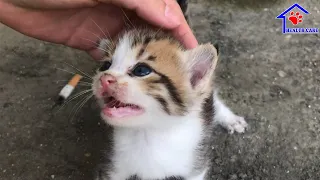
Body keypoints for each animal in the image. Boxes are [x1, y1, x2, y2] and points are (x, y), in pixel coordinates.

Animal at [90, 0, 248, 179]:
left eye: (141, 70)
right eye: (105, 66)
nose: (104, 79)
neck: (148, 133)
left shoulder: (195, 167)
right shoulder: (112, 167)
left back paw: (231, 119)